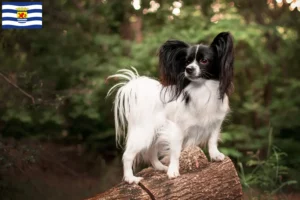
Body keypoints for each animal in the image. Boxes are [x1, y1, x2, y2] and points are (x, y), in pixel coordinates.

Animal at [107, 32, 234, 184]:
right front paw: (173, 171)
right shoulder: (176, 129)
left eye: (204, 60)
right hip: (144, 133)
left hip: (155, 133)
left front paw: (215, 155)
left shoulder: (215, 123)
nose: (189, 69)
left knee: (151, 152)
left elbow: (212, 140)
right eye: (187, 62)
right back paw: (130, 178)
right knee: (128, 155)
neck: (202, 89)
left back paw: (160, 167)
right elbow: (175, 152)